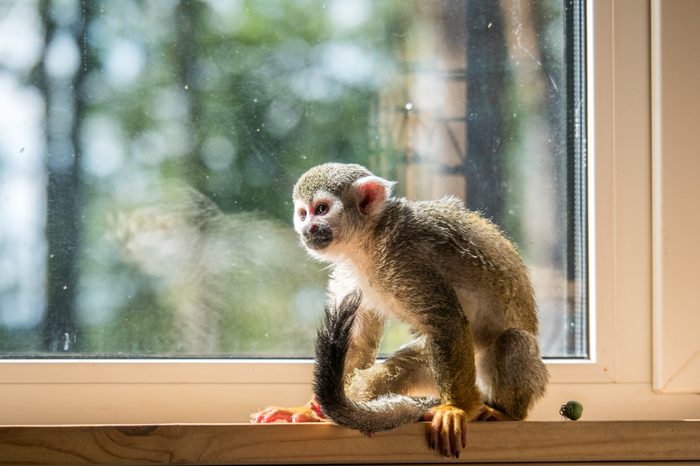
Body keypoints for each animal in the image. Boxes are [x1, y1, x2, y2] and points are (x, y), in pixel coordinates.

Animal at [254, 163, 548, 456]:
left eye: (322, 209)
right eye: (303, 213)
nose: (308, 228)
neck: (369, 240)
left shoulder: (408, 258)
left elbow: (447, 320)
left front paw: (456, 409)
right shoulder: (351, 271)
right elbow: (358, 340)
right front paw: (311, 411)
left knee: (513, 341)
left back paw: (505, 412)